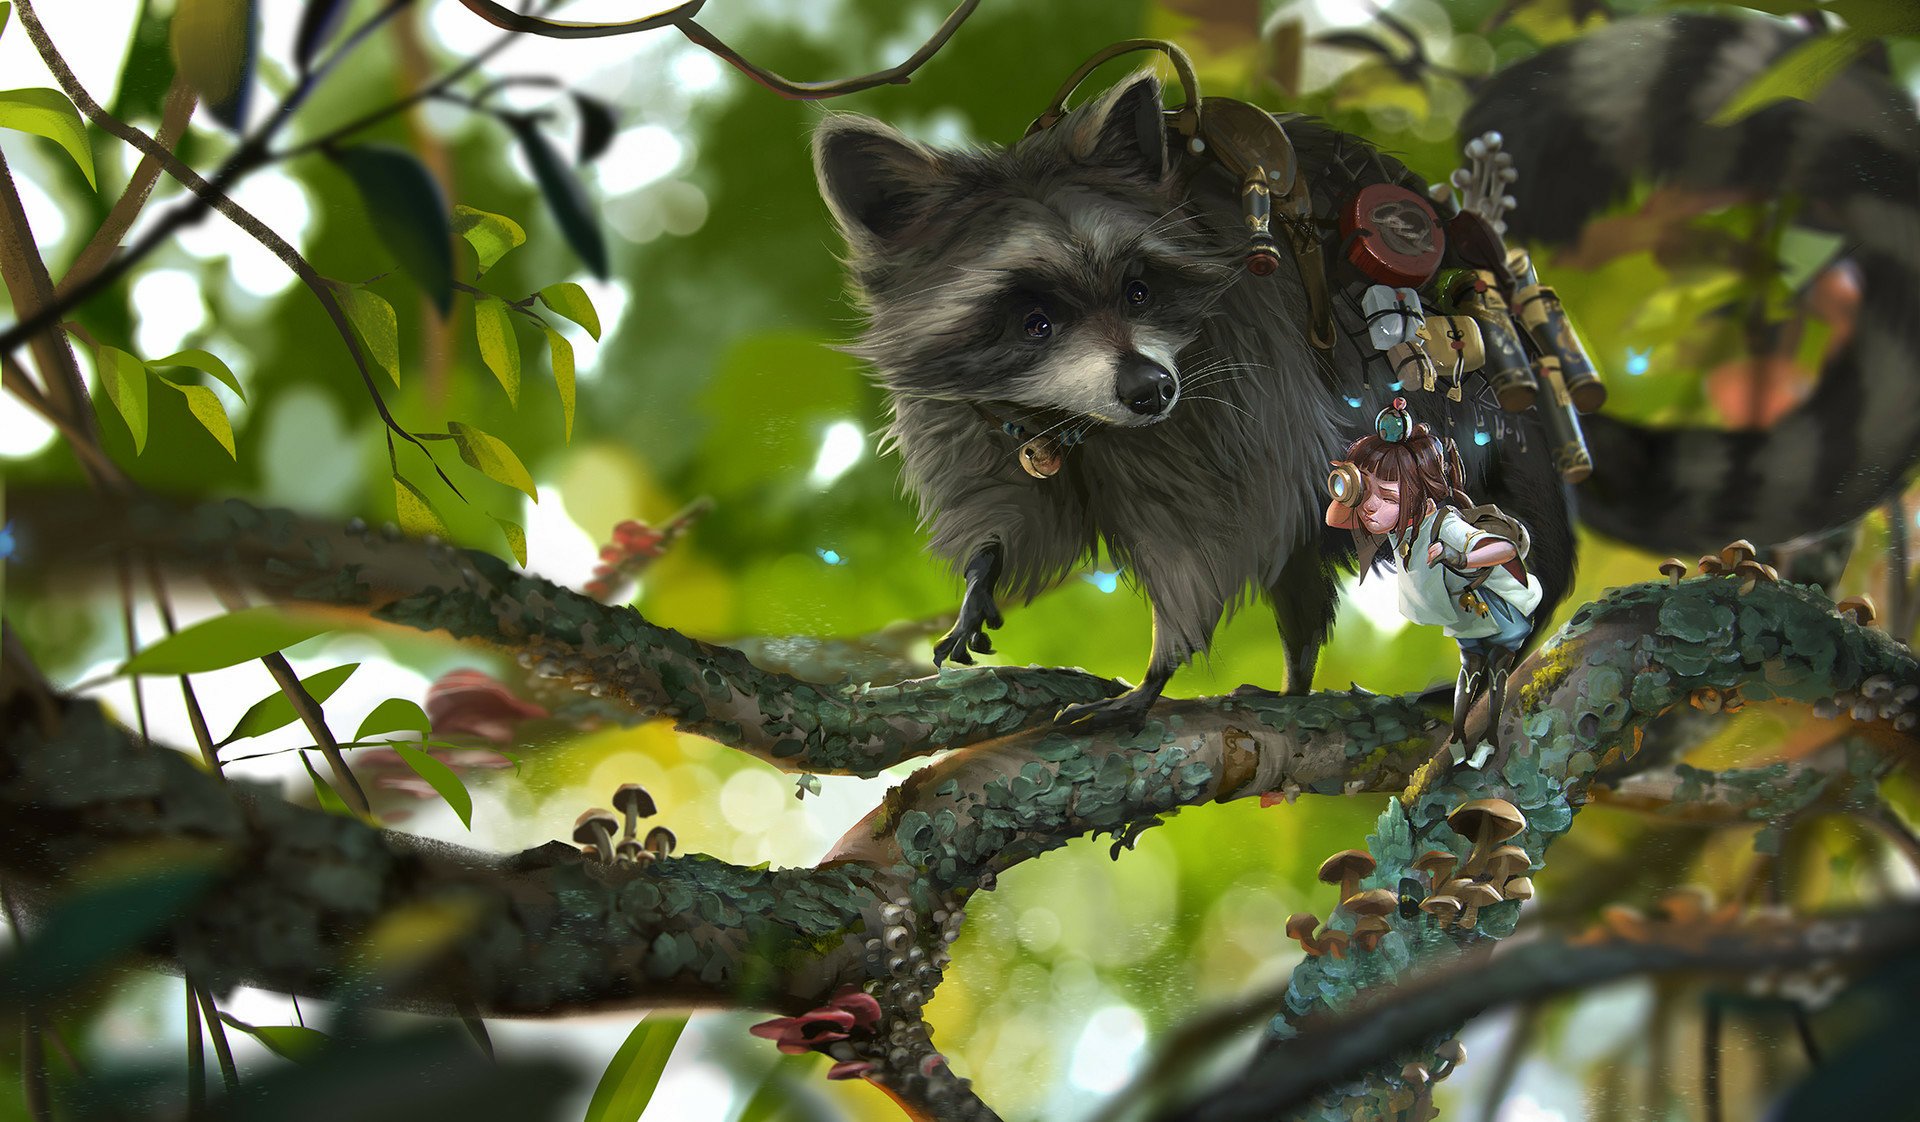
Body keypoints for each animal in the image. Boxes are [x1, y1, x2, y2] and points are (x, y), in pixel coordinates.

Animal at [812, 14, 1919, 727]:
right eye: (1034, 318)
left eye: (1137, 287)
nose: (1148, 392)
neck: (1081, 419)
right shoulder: (973, 405)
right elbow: (1008, 500)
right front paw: (984, 569)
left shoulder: (1237, 378)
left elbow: (1214, 527)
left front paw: (1166, 655)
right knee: (1305, 562)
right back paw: (1300, 668)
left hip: (1486, 402)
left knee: (1500, 511)